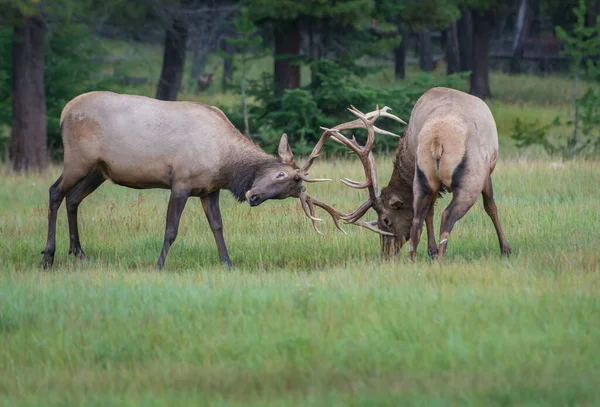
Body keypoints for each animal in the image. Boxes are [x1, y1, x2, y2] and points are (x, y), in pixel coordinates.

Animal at [41, 92, 332, 270]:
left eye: (286, 193)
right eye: (280, 175)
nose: (254, 197)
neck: (225, 164)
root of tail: (65, 112)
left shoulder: (209, 190)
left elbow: (217, 226)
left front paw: (228, 263)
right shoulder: (180, 183)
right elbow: (171, 230)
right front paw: (158, 266)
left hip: (98, 170)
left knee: (73, 198)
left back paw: (78, 252)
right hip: (77, 159)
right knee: (55, 192)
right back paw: (48, 256)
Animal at [310, 88, 510, 262]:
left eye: (386, 220)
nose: (387, 253)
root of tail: (437, 140)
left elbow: (429, 212)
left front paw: (431, 251)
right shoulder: (486, 171)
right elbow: (491, 207)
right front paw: (505, 249)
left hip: (423, 176)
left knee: (417, 219)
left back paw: (415, 258)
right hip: (472, 177)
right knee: (447, 215)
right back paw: (441, 259)